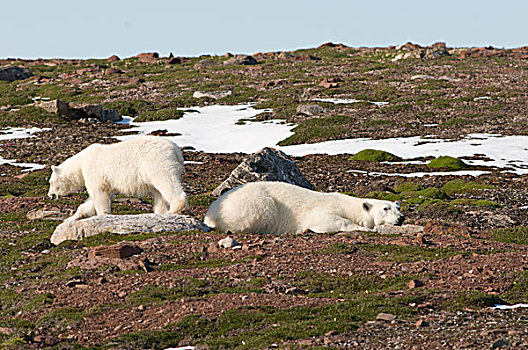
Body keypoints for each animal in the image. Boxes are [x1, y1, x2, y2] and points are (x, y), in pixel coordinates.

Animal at [47, 137, 188, 221]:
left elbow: (98, 194)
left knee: (165, 181)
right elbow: (92, 201)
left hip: (156, 161)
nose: (50, 195)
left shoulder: (94, 171)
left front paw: (103, 215)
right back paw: (160, 212)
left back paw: (174, 209)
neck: (81, 162)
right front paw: (70, 218)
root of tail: (176, 149)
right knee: (158, 192)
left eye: (50, 182)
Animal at [205, 180, 404, 235]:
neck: (347, 205)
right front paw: (364, 228)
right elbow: (328, 220)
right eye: (386, 208)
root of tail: (210, 211)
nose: (401, 218)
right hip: (256, 203)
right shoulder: (322, 210)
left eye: (398, 207)